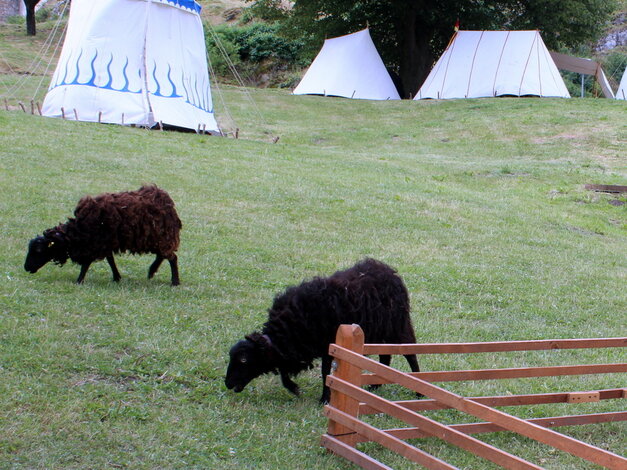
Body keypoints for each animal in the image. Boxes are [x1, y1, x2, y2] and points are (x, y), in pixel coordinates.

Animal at [24, 185, 182, 284]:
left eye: (38, 250)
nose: (26, 268)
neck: (77, 231)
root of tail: (167, 201)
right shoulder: (105, 242)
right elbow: (110, 259)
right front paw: (117, 277)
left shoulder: (94, 243)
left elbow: (87, 263)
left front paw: (79, 280)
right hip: (158, 238)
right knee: (163, 255)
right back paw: (151, 271)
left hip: (161, 236)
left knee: (172, 258)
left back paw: (174, 281)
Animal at [223, 258, 420, 404]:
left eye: (243, 359)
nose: (227, 383)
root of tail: (388, 270)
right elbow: (284, 370)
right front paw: (294, 388)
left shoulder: (327, 344)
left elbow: (325, 372)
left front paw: (324, 398)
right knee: (385, 355)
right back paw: (375, 386)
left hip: (398, 325)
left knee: (410, 353)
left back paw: (418, 390)